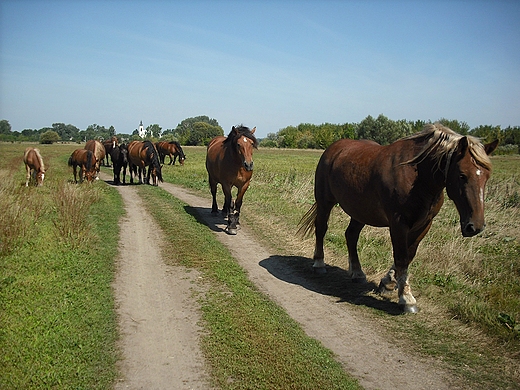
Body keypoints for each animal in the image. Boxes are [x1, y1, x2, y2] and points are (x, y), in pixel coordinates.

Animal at [298, 123, 498, 312]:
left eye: (487, 176)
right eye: (462, 175)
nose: (475, 226)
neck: (418, 178)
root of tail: (333, 148)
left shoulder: (424, 224)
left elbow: (409, 255)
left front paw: (388, 282)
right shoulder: (398, 223)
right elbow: (401, 257)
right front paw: (406, 299)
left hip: (360, 211)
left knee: (351, 235)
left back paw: (357, 272)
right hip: (325, 202)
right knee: (321, 228)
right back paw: (319, 264)